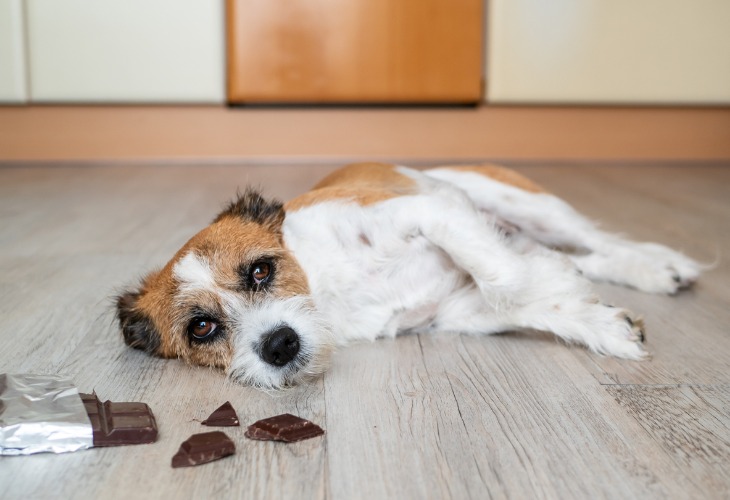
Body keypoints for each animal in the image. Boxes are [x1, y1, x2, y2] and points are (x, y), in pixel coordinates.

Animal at [116, 162, 704, 388]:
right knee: (581, 255)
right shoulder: (455, 310)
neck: (327, 287)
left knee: (598, 241)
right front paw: (598, 321)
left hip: (525, 204)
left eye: (261, 270)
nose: (279, 345)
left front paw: (556, 287)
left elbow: (505, 279)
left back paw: (661, 266)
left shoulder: (431, 210)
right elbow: (517, 297)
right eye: (201, 328)